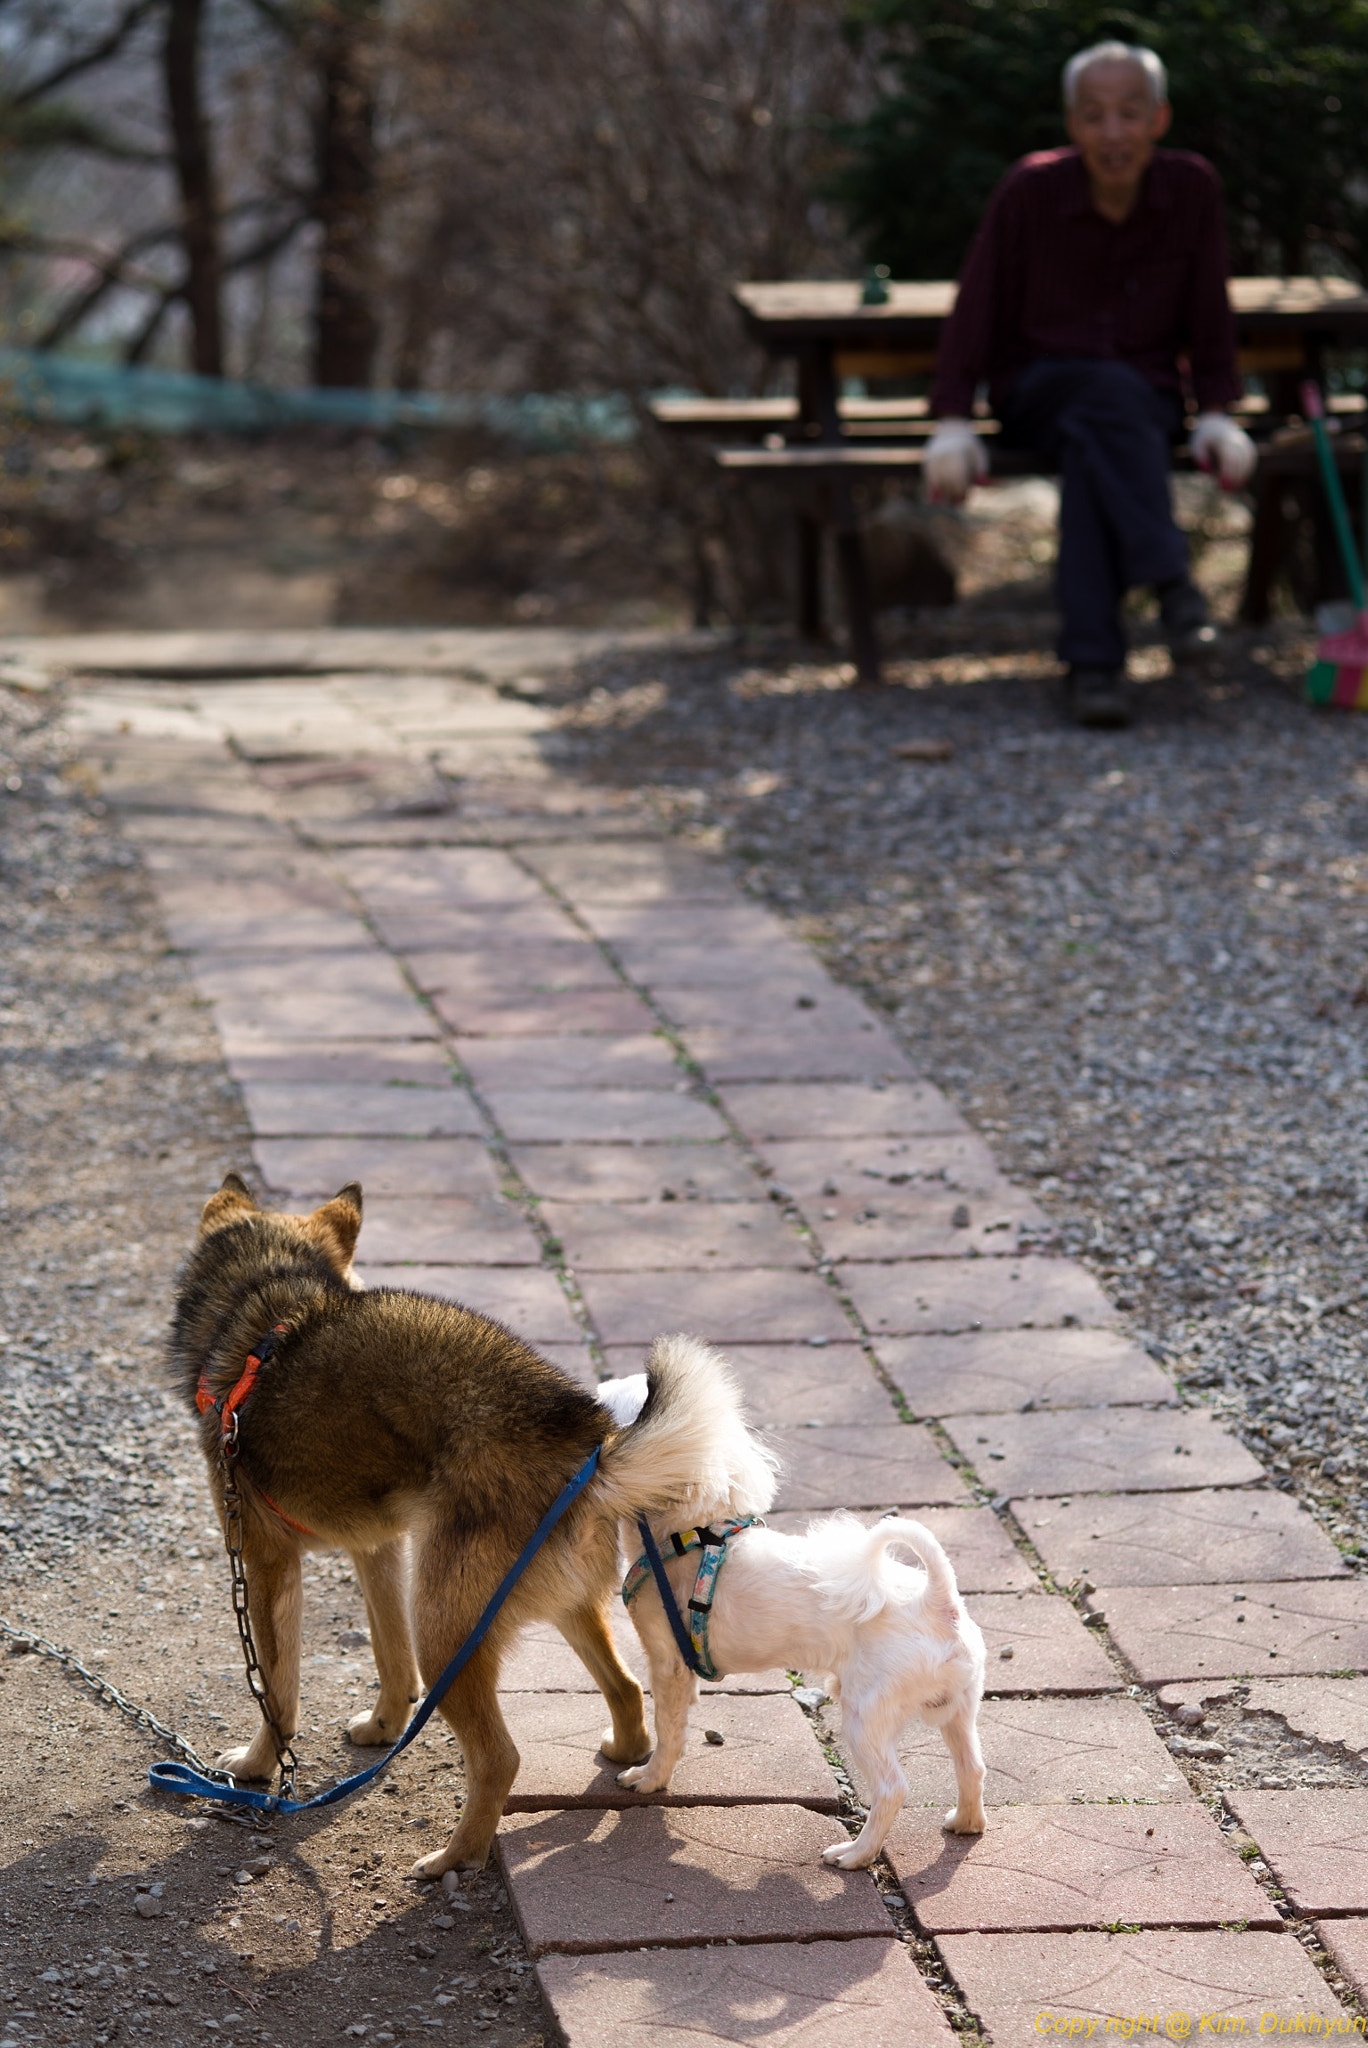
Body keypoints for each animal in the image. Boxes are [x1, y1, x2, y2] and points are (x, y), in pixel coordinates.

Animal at [165, 1171, 774, 1875]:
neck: (267, 1301)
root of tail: (590, 1443)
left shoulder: (265, 1563)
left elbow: (277, 1690)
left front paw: (260, 1767)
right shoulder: (378, 1549)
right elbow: (389, 1656)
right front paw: (383, 1729)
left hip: (445, 1632)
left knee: (500, 1758)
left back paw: (456, 1858)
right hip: (548, 1604)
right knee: (625, 1691)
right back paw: (623, 1757)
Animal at [597, 1351, 982, 1867]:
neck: (689, 1531)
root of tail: (938, 1601)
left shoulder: (668, 1661)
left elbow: (668, 1728)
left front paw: (650, 1778)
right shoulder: (682, 1669)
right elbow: (680, 1719)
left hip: (866, 1714)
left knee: (893, 1788)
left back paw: (855, 1854)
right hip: (959, 1709)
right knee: (973, 1767)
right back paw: (966, 1823)